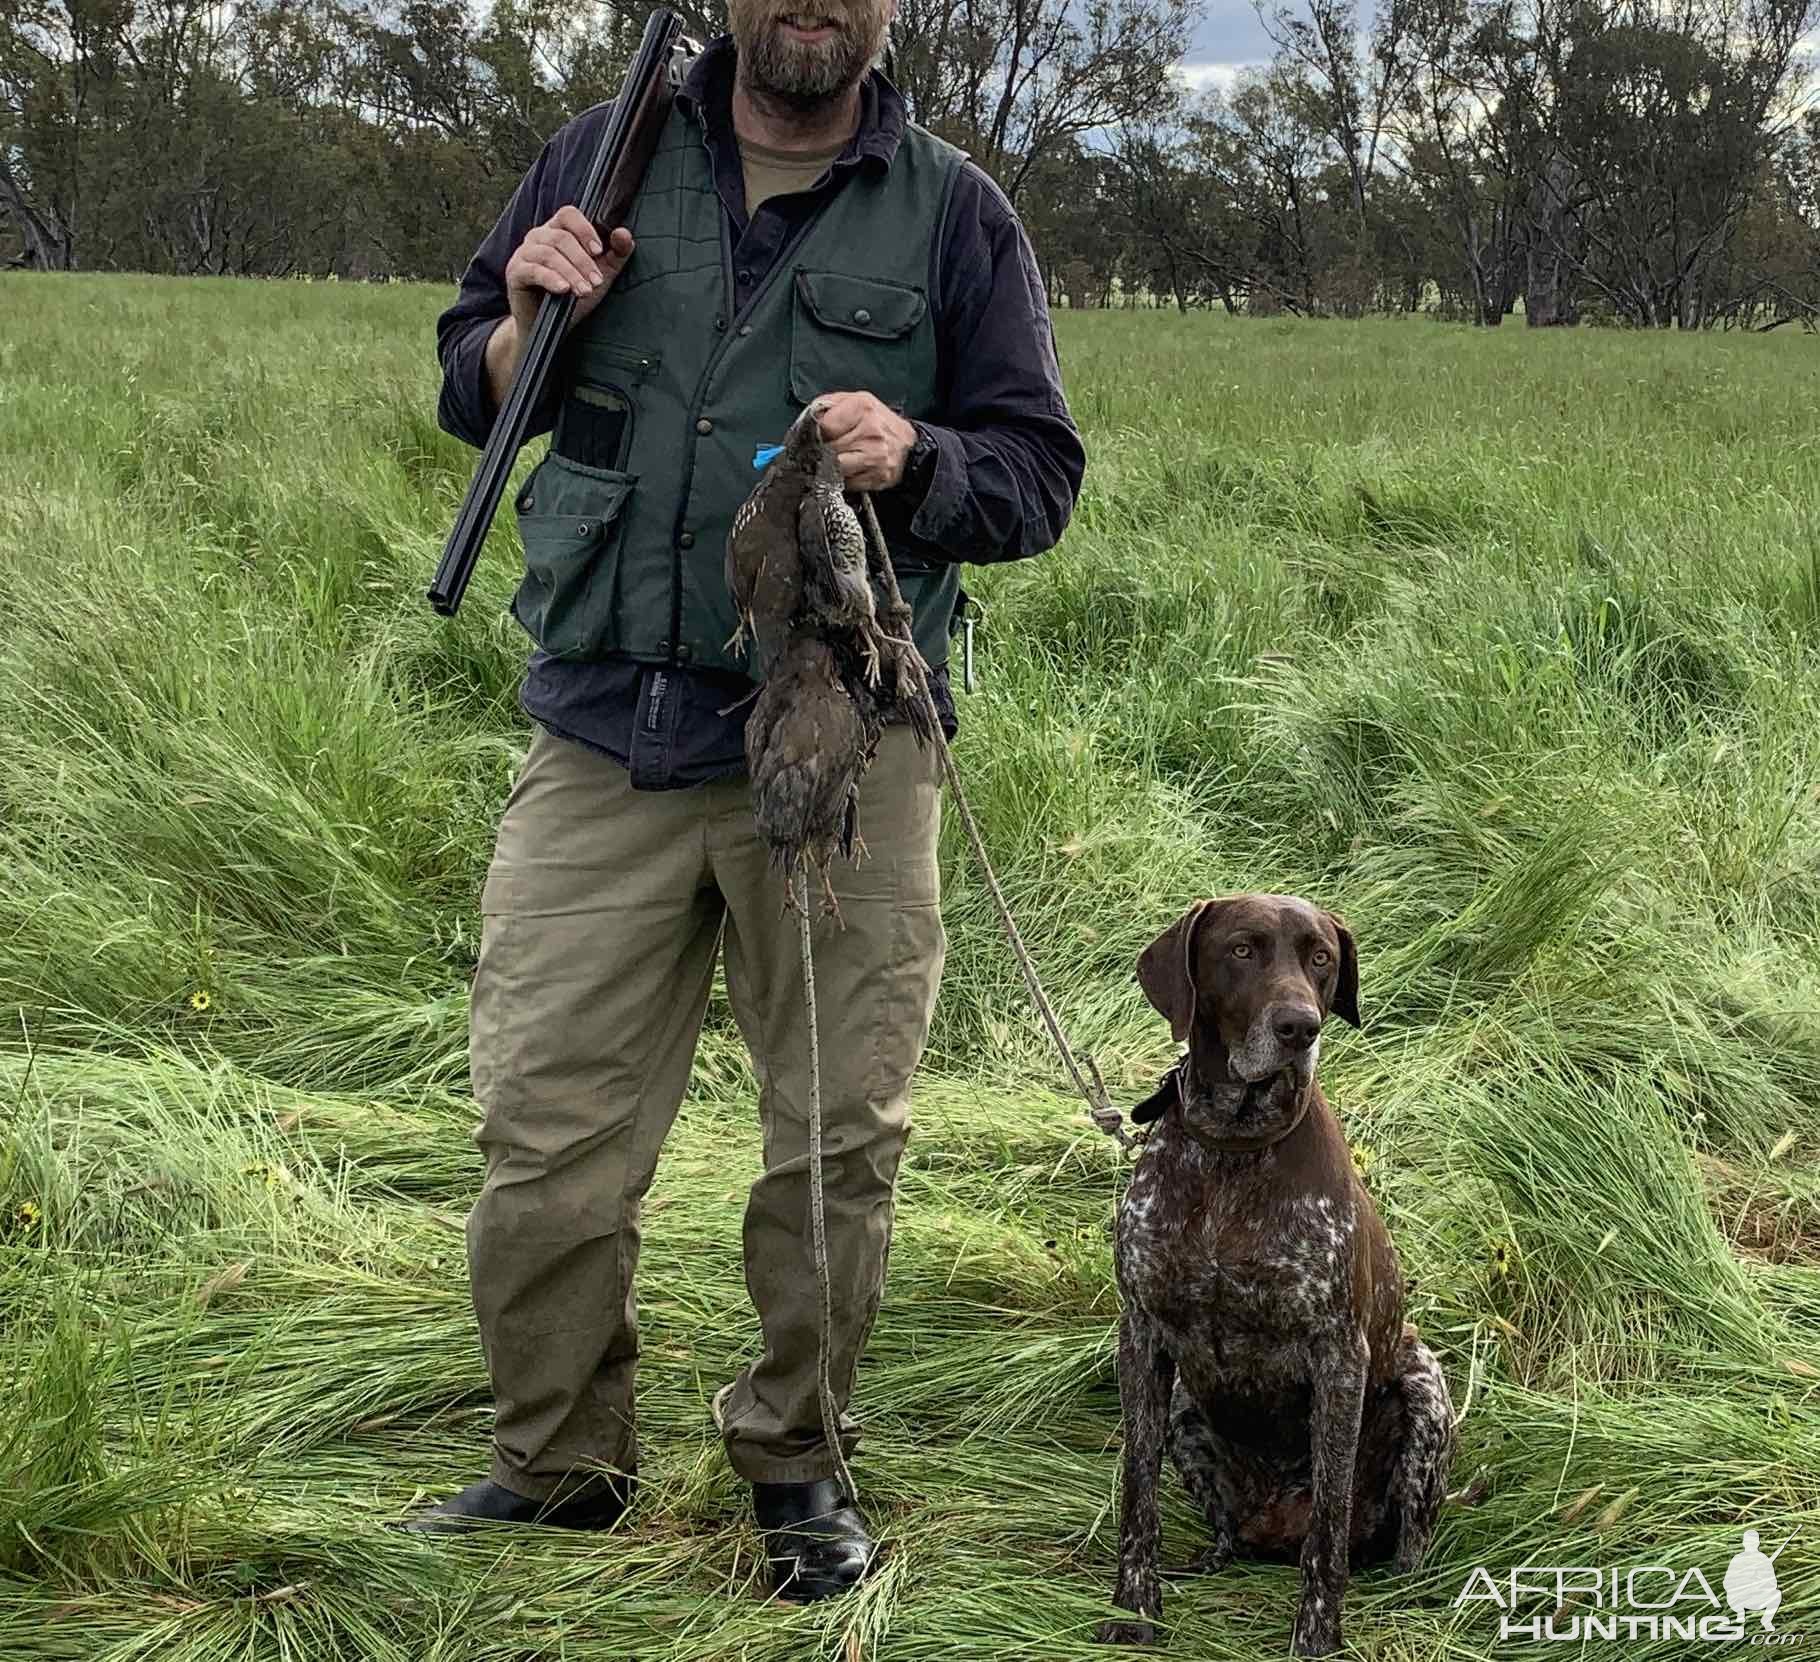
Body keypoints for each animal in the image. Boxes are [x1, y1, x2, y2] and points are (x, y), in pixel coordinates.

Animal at [1092, 902, 1448, 1652]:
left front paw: (1317, 1635)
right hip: (1184, 1410)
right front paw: (1134, 1608)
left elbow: (1329, 1526)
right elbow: (1138, 1495)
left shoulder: (1339, 1356)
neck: (1233, 1146)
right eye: (1242, 950)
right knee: (1229, 1534)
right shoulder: (1142, 1335)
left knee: (1401, 1544)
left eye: (1320, 958)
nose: (1299, 1027)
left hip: (1426, 1388)